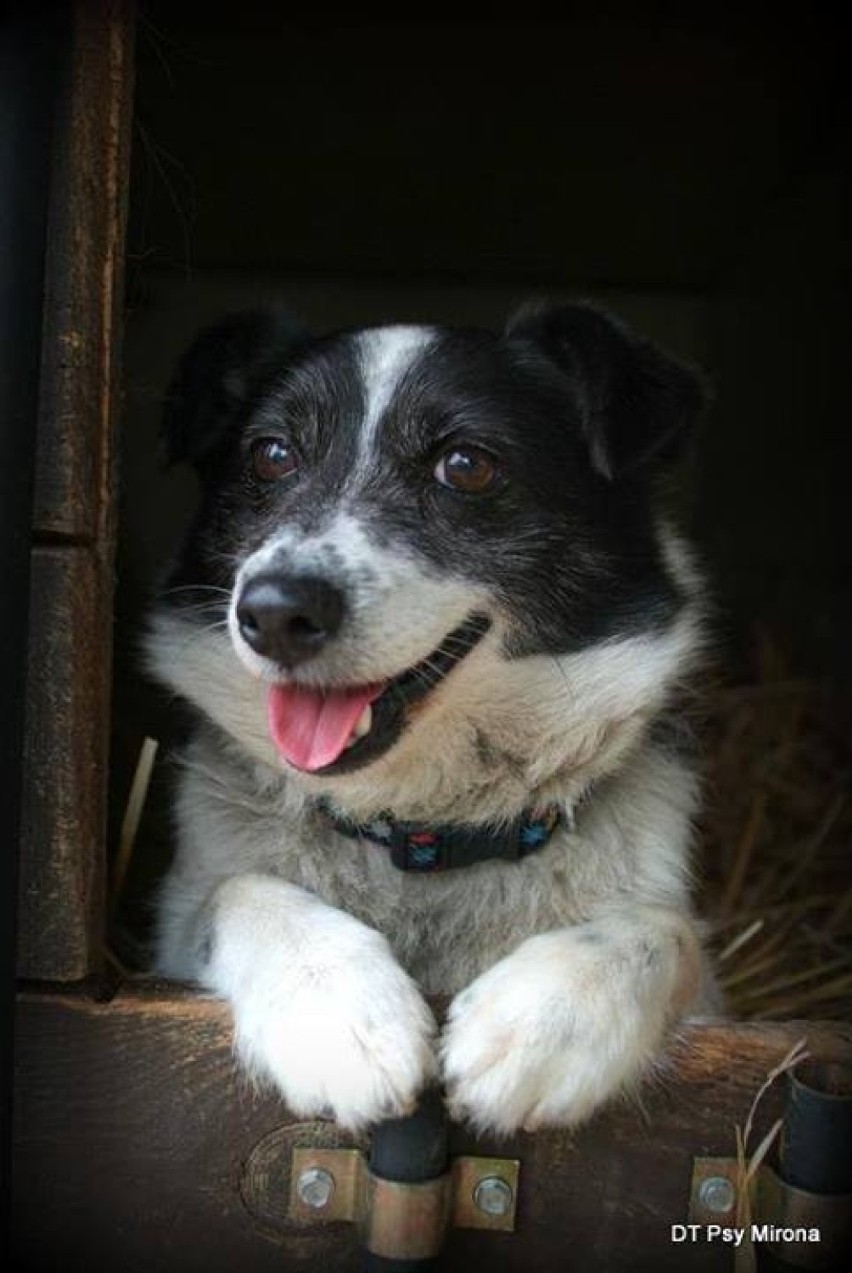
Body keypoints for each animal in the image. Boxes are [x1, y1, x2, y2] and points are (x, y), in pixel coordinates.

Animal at [147, 300, 718, 1135]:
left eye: (466, 465)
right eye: (271, 454)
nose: (275, 611)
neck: (423, 832)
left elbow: (667, 930)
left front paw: (540, 1021)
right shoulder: (193, 904)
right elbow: (238, 891)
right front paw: (339, 1016)